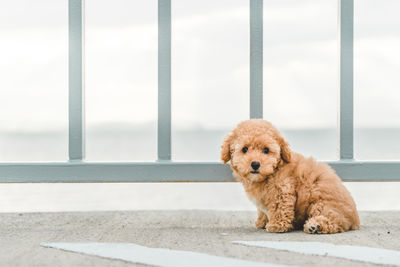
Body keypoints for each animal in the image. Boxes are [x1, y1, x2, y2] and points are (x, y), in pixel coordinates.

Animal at [222, 119, 360, 234]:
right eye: (244, 149)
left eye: (266, 150)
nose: (255, 164)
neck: (274, 170)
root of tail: (355, 219)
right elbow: (262, 210)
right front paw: (261, 222)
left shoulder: (282, 189)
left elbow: (279, 208)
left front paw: (276, 226)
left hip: (322, 204)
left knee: (334, 220)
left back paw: (315, 226)